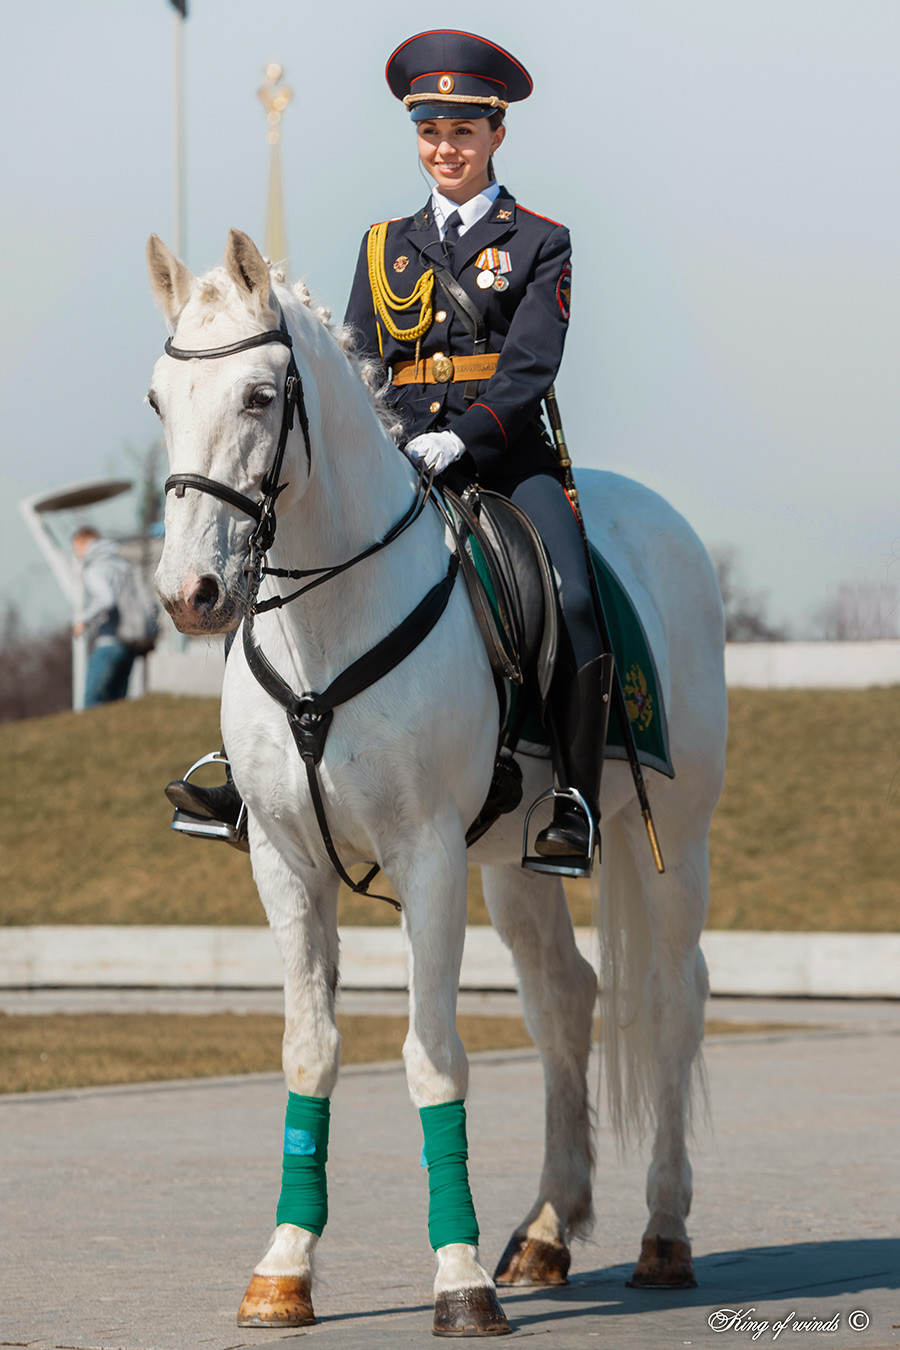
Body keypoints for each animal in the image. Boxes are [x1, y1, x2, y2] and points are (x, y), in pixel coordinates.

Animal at [146, 232, 723, 1339]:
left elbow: (432, 1055)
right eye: (159, 399)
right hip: (516, 861)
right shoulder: (287, 863)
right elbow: (309, 1050)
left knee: (673, 1003)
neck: (326, 618)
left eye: (258, 395)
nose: (188, 594)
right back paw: (547, 1229)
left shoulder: (427, 857)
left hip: (672, 835)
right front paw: (284, 1269)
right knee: (566, 1001)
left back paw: (665, 1232)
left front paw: (458, 1280)